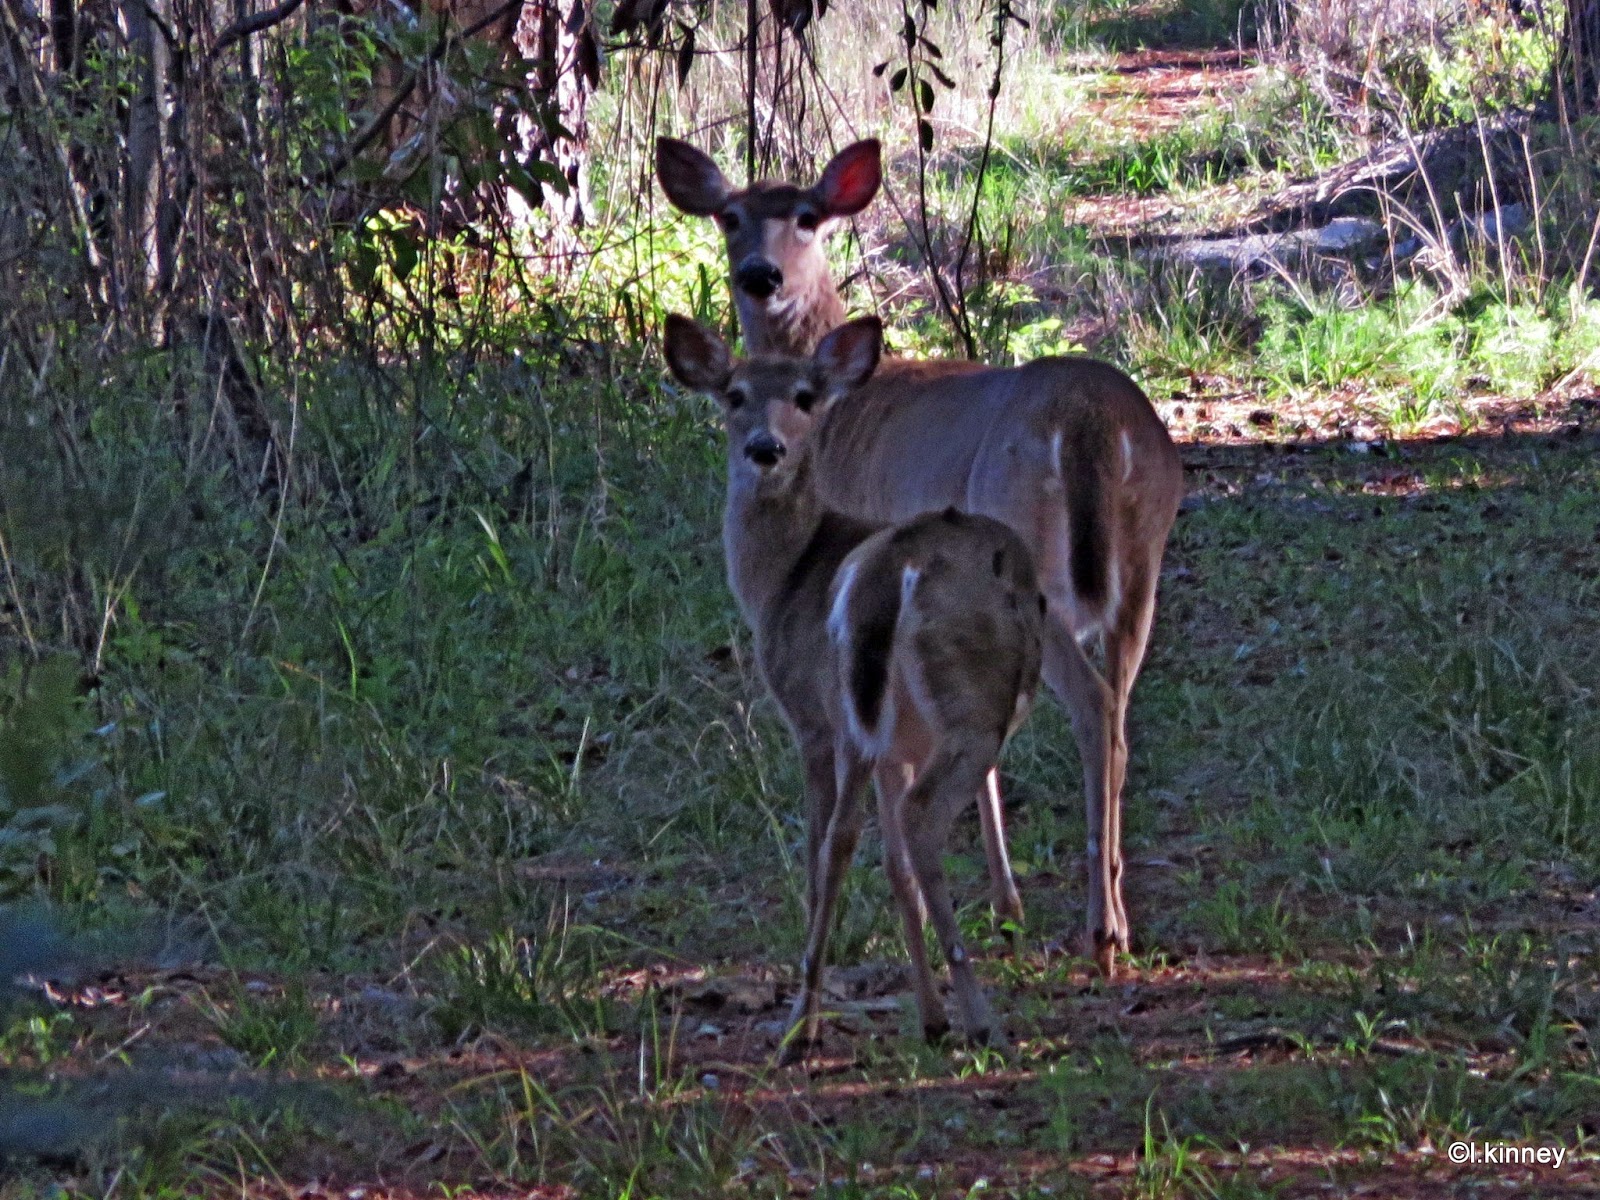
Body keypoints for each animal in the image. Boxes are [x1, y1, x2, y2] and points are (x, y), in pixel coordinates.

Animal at [657, 137, 1185, 977]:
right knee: (1123, 713)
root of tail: (1091, 422)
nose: (760, 276)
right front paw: (1001, 903)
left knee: (1094, 703)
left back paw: (1100, 932)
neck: (838, 406)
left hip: (1036, 565)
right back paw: (1119, 914)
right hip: (1142, 563)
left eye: (806, 215)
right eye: (731, 215)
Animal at [663, 312, 1045, 1055]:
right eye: (735, 394)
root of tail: (903, 568)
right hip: (944, 708)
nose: (765, 449)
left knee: (876, 831)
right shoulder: (883, 741)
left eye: (806, 396)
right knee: (908, 830)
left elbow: (828, 848)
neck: (784, 579)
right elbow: (892, 866)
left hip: (950, 704)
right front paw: (928, 1013)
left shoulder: (815, 718)